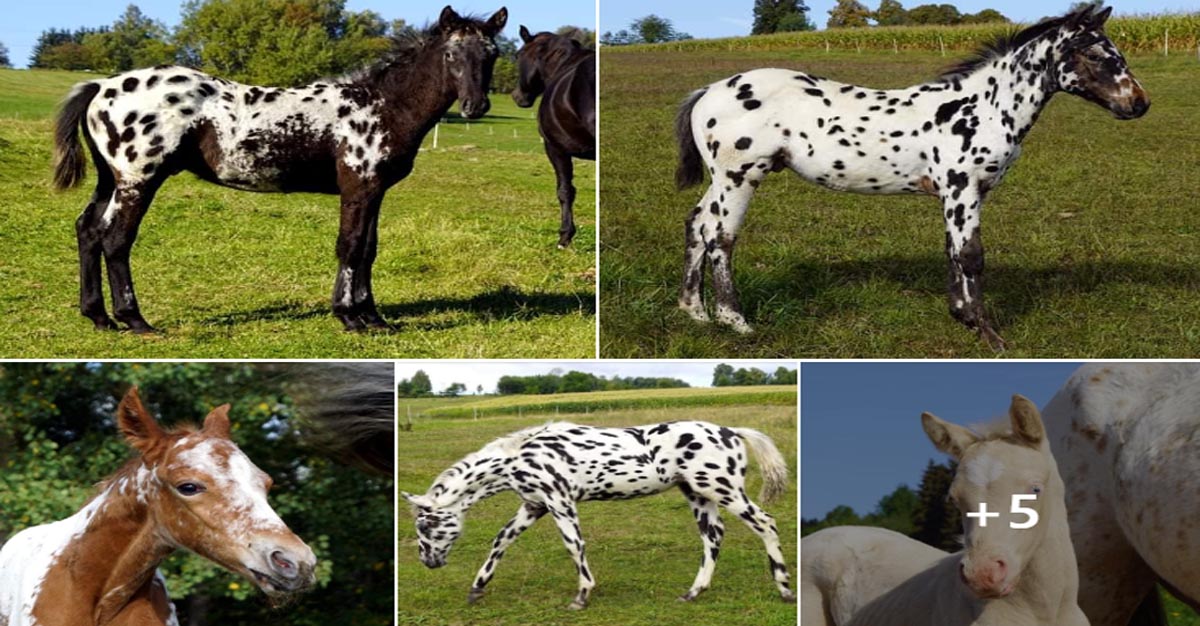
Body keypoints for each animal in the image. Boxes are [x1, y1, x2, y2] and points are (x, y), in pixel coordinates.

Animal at [52, 4, 506, 330]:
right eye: (451, 54)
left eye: (493, 54)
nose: (475, 106)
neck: (380, 105)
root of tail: (101, 86)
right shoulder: (358, 188)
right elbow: (350, 246)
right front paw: (349, 317)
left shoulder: (374, 191)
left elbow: (369, 249)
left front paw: (374, 317)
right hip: (138, 179)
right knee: (116, 240)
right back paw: (135, 320)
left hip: (111, 179)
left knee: (88, 230)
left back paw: (99, 317)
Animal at [403, 419, 796, 604]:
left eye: (425, 526)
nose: (428, 562)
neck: (519, 456)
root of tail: (732, 432)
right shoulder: (534, 505)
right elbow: (502, 540)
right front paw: (477, 588)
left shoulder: (560, 502)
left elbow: (574, 545)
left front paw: (582, 595)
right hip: (699, 495)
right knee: (713, 538)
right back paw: (693, 592)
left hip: (723, 490)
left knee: (765, 523)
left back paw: (784, 588)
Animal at [681, 7, 1147, 347]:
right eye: (1096, 55)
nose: (1139, 104)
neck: (983, 107)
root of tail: (708, 90)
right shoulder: (962, 188)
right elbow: (971, 255)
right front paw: (988, 333)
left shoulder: (960, 195)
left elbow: (953, 251)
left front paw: (962, 316)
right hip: (739, 176)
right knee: (720, 237)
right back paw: (735, 321)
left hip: (720, 180)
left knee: (697, 225)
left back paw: (695, 313)